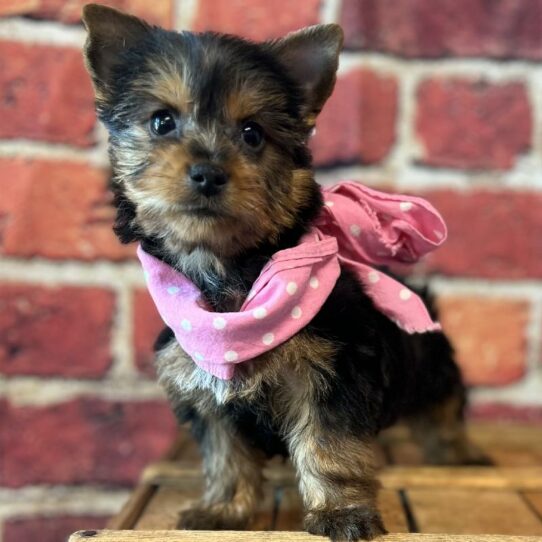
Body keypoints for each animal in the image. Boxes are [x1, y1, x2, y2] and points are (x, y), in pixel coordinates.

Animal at [83, 6, 490, 540]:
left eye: (253, 134)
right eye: (162, 122)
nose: (208, 172)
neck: (232, 275)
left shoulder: (334, 372)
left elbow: (329, 445)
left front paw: (341, 513)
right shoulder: (200, 381)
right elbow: (225, 454)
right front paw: (223, 510)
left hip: (431, 363)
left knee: (444, 407)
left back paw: (459, 454)